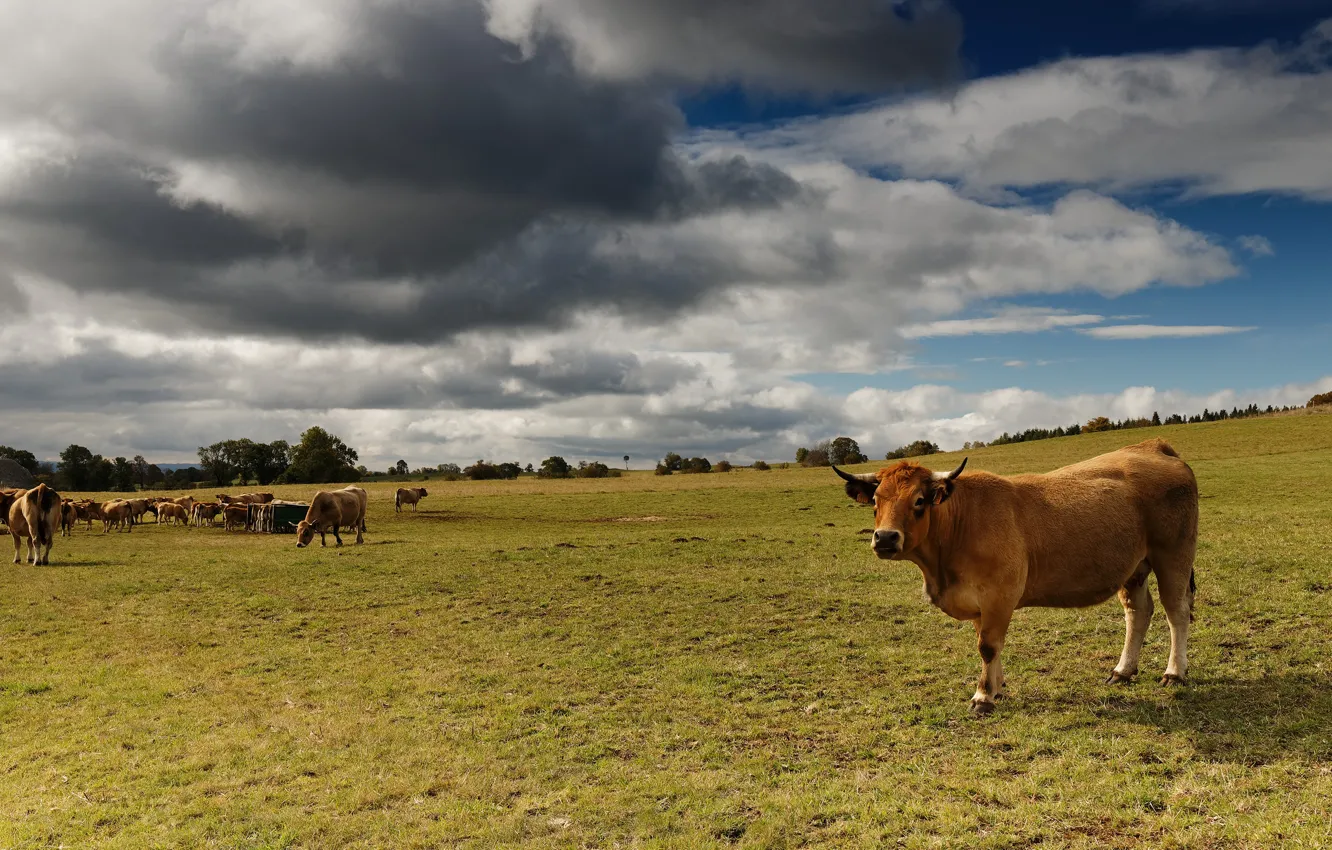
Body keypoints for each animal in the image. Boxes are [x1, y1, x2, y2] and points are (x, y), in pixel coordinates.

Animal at [833, 438, 1199, 717]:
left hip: (1174, 556)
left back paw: (1174, 673)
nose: (885, 538)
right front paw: (997, 687)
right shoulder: (980, 602)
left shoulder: (999, 594)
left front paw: (982, 696)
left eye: (919, 500)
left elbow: (987, 646)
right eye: (876, 500)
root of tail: (1153, 446)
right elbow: (988, 643)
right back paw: (1122, 671)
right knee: (1138, 612)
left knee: (1176, 612)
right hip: (1135, 567)